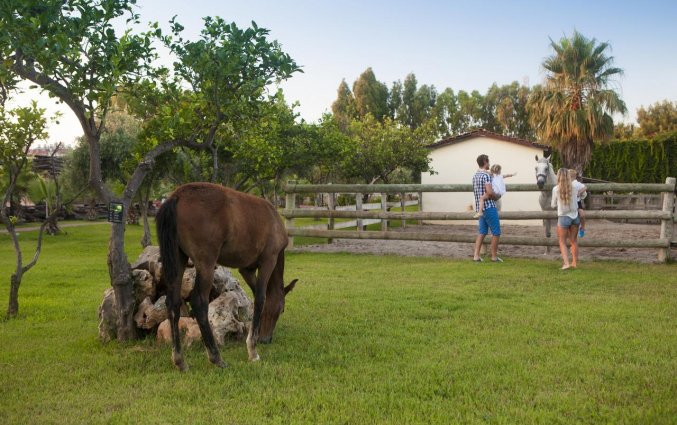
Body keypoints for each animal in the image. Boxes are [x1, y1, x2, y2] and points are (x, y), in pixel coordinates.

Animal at [155, 182, 298, 371]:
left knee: (172, 303)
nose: (266, 339)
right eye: (281, 310)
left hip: (178, 259)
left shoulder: (246, 269)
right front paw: (252, 350)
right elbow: (261, 298)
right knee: (199, 302)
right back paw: (216, 357)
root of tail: (177, 196)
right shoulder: (268, 261)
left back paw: (180, 360)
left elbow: (256, 296)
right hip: (206, 263)